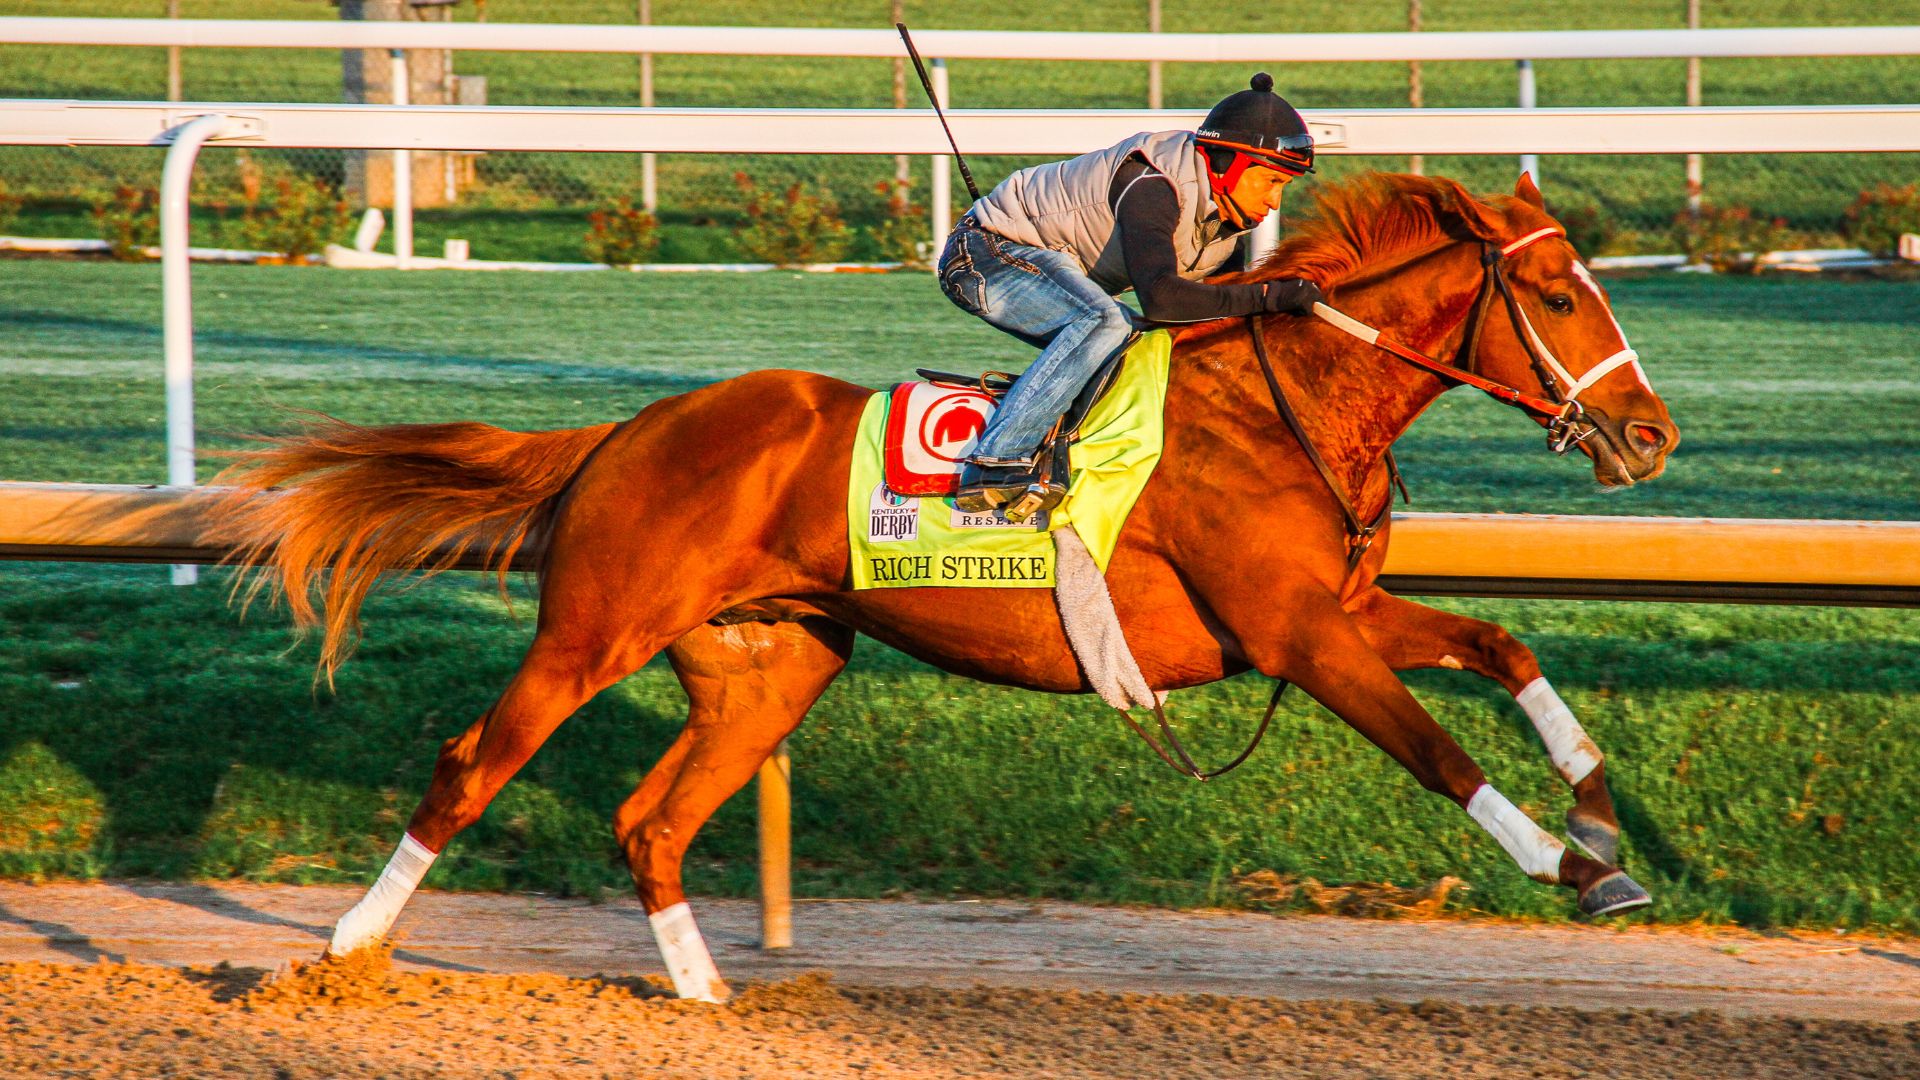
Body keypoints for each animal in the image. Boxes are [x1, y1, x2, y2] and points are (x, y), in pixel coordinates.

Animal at [214, 170, 1681, 999]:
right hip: (594, 630)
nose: (1652, 433)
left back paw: (707, 1000)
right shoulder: (1298, 633)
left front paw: (1602, 821)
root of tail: (631, 428)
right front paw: (1570, 864)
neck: (1281, 404)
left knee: (649, 822)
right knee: (473, 764)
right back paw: (342, 953)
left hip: (770, 667)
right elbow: (1439, 750)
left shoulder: (1344, 610)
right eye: (1559, 293)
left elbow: (1502, 649)